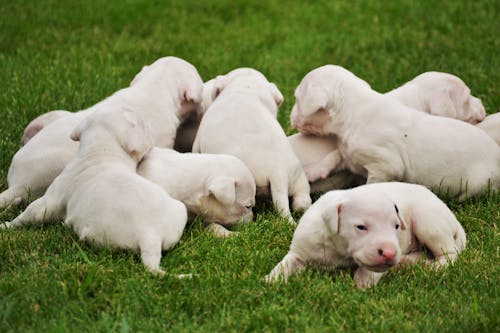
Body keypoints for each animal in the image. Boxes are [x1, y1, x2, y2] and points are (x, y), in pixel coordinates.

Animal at [2, 107, 188, 274]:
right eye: (141, 122)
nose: (150, 122)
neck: (100, 152)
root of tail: (150, 236)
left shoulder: (50, 200)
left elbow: (28, 214)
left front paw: (6, 225)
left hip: (97, 234)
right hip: (180, 211)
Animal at [268, 180, 466, 286]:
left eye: (396, 226)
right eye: (361, 227)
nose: (390, 253)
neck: (338, 249)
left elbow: (370, 270)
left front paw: (361, 284)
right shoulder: (300, 251)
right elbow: (286, 264)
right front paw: (271, 280)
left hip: (428, 221)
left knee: (450, 253)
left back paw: (434, 266)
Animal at [290, 66, 500, 198]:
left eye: (297, 99)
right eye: (467, 99)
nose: (483, 105)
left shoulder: (386, 166)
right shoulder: (351, 156)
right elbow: (335, 158)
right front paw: (311, 172)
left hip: (478, 182)